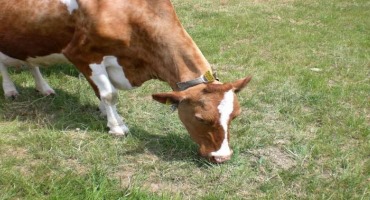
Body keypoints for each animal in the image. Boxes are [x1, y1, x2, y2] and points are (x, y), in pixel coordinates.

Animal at [0, 0, 251, 162]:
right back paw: (10, 90)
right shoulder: (83, 54)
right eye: (199, 118)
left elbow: (100, 92)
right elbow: (109, 94)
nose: (223, 157)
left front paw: (106, 114)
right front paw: (117, 126)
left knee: (31, 61)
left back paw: (44, 88)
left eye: (235, 116)